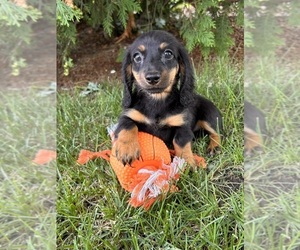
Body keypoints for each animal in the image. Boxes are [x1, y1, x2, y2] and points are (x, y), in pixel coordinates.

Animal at [113, 30, 221, 166]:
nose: (152, 77)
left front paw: (186, 162)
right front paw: (127, 149)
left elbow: (180, 142)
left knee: (217, 133)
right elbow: (127, 125)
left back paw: (214, 147)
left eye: (168, 54)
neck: (157, 101)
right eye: (137, 57)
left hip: (210, 116)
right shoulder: (129, 114)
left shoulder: (182, 125)